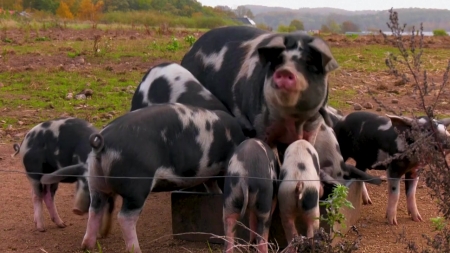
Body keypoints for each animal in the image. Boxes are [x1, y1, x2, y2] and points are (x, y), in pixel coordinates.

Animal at [80, 103, 246, 253]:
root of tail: (102, 144)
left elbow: (212, 185)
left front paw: (216, 194)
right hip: (137, 185)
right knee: (124, 218)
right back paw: (136, 250)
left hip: (95, 181)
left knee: (94, 209)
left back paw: (87, 247)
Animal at [179, 26, 338, 152]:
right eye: (277, 60)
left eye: (310, 62)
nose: (285, 70)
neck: (292, 121)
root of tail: (191, 50)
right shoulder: (260, 123)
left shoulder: (313, 126)